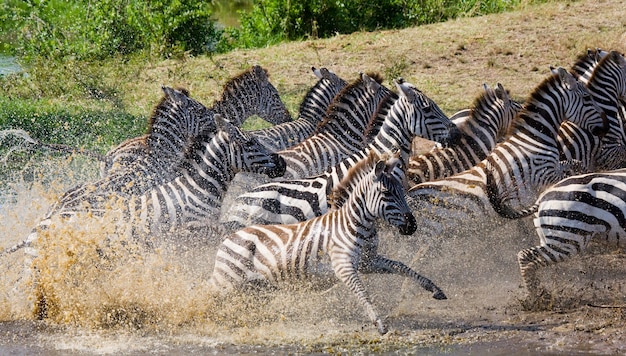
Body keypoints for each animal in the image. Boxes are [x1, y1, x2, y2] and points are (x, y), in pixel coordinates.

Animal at [207, 152, 446, 336]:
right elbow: (362, 291)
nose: (412, 226)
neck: (354, 222)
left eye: (402, 192)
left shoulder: (368, 262)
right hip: (227, 279)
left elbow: (402, 266)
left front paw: (435, 289)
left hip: (254, 286)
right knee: (207, 292)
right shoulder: (343, 266)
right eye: (387, 193)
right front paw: (379, 323)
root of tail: (231, 235)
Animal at [404, 67, 604, 236]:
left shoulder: (553, 167)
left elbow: (574, 164)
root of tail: (410, 197)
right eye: (587, 98)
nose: (605, 126)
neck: (534, 137)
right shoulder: (544, 175)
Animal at [516, 168, 624, 308]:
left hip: (551, 238)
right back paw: (536, 299)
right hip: (566, 240)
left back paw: (540, 296)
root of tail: (542, 198)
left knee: (527, 257)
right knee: (526, 258)